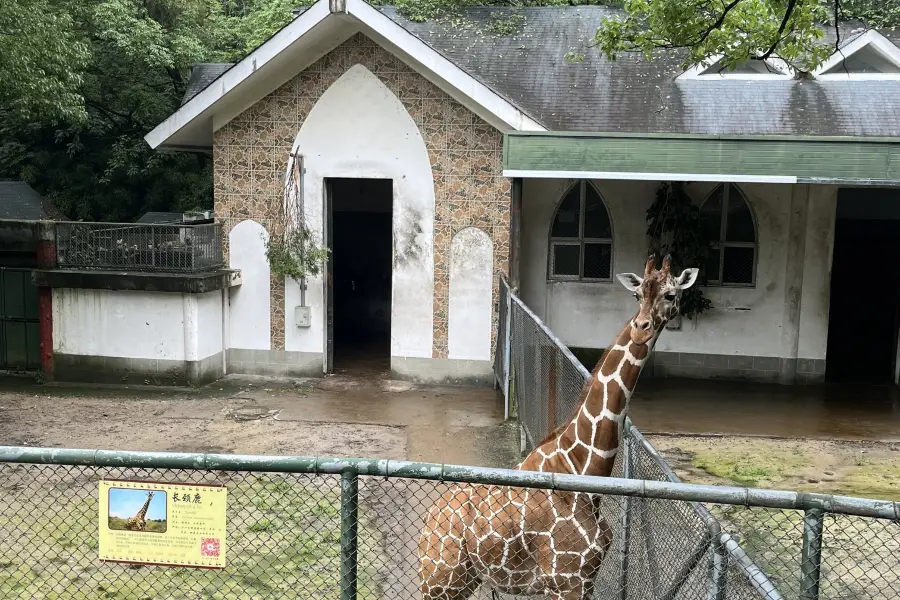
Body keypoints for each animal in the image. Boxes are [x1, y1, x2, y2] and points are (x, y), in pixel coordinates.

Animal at [418, 254, 700, 600]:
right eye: (637, 295)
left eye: (670, 294)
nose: (640, 329)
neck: (584, 468)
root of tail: (430, 521)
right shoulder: (567, 580)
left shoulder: (585, 581)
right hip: (441, 581)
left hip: (465, 579)